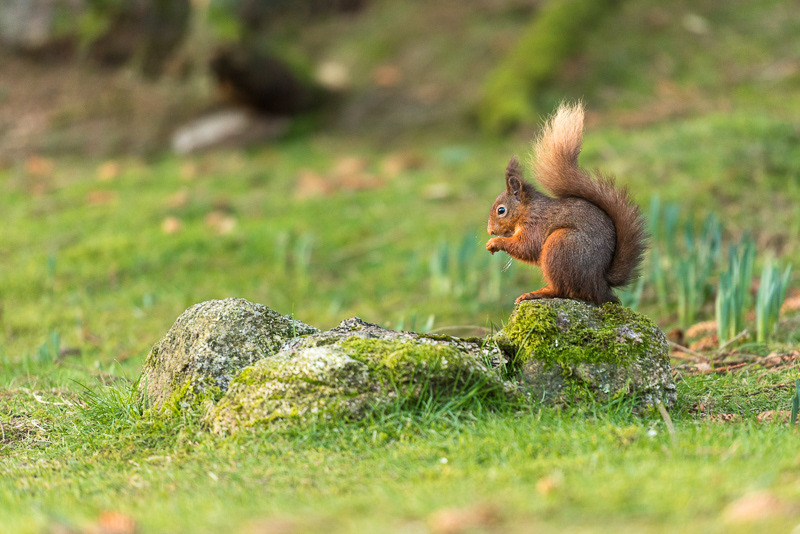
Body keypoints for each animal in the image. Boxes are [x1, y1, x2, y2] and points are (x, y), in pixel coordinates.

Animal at [486, 102, 646, 305]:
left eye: (501, 210)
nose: (490, 231)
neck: (528, 210)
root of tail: (599, 283)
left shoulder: (535, 224)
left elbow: (527, 247)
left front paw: (495, 242)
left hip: (560, 245)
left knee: (562, 289)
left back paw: (537, 292)